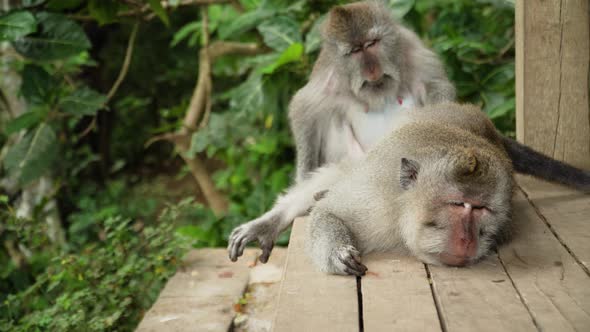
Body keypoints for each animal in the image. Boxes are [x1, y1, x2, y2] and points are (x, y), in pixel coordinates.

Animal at [228, 1, 590, 264]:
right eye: (458, 205)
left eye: (483, 210)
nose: (467, 237)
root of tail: (486, 126)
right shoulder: (374, 196)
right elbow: (306, 110)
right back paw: (274, 219)